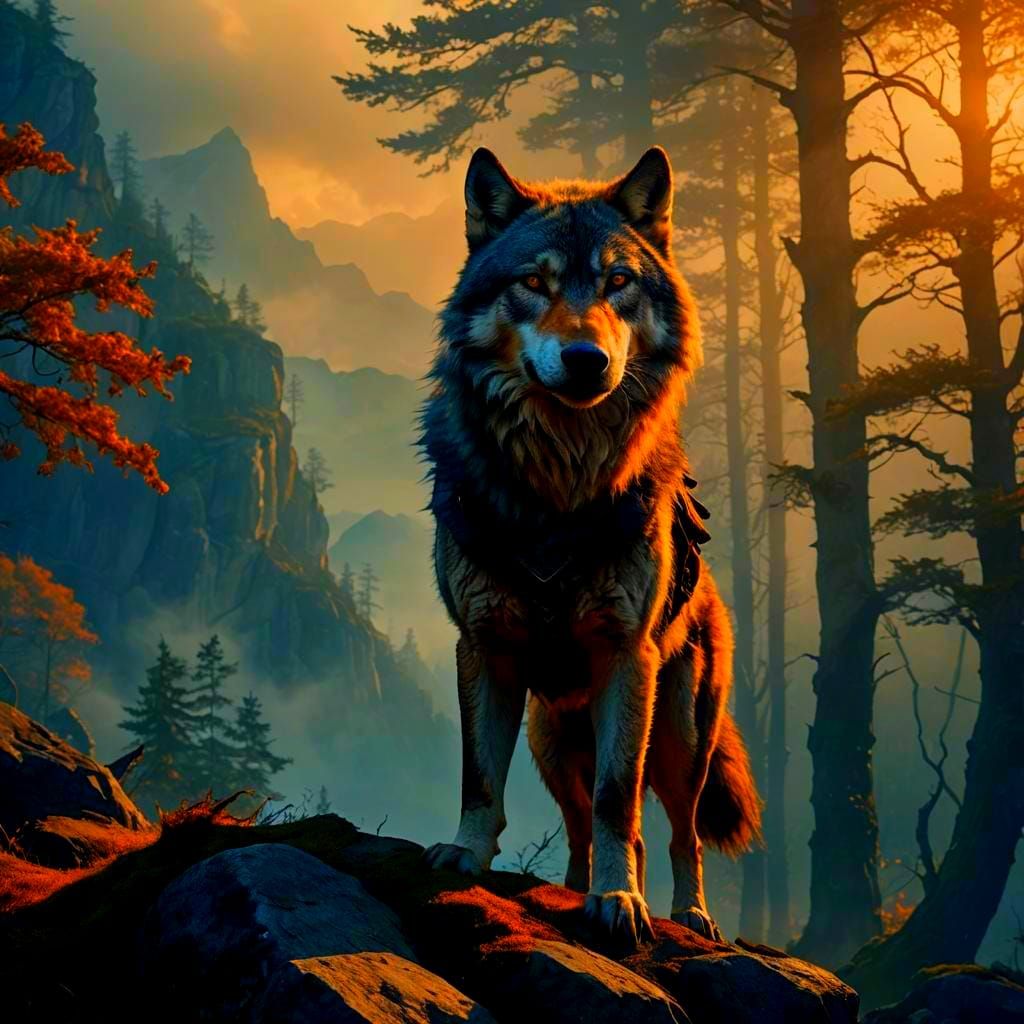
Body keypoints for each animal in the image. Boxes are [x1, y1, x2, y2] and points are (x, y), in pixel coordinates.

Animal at [419, 145, 761, 947]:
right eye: (533, 282)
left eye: (617, 283)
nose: (585, 359)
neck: (558, 489)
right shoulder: (483, 646)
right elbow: (479, 776)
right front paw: (464, 856)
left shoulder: (625, 659)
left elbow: (618, 801)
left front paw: (618, 901)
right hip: (552, 740)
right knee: (579, 827)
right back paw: (574, 889)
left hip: (679, 738)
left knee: (673, 831)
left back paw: (687, 914)